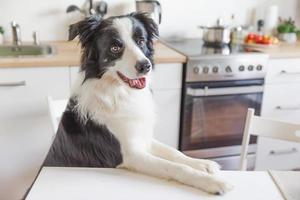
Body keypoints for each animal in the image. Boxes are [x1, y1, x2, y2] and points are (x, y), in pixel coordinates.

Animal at [44, 12, 232, 195]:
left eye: (140, 41)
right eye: (115, 47)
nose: (145, 66)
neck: (118, 93)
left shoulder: (142, 136)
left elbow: (174, 153)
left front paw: (203, 164)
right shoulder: (131, 155)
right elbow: (175, 167)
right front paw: (213, 182)